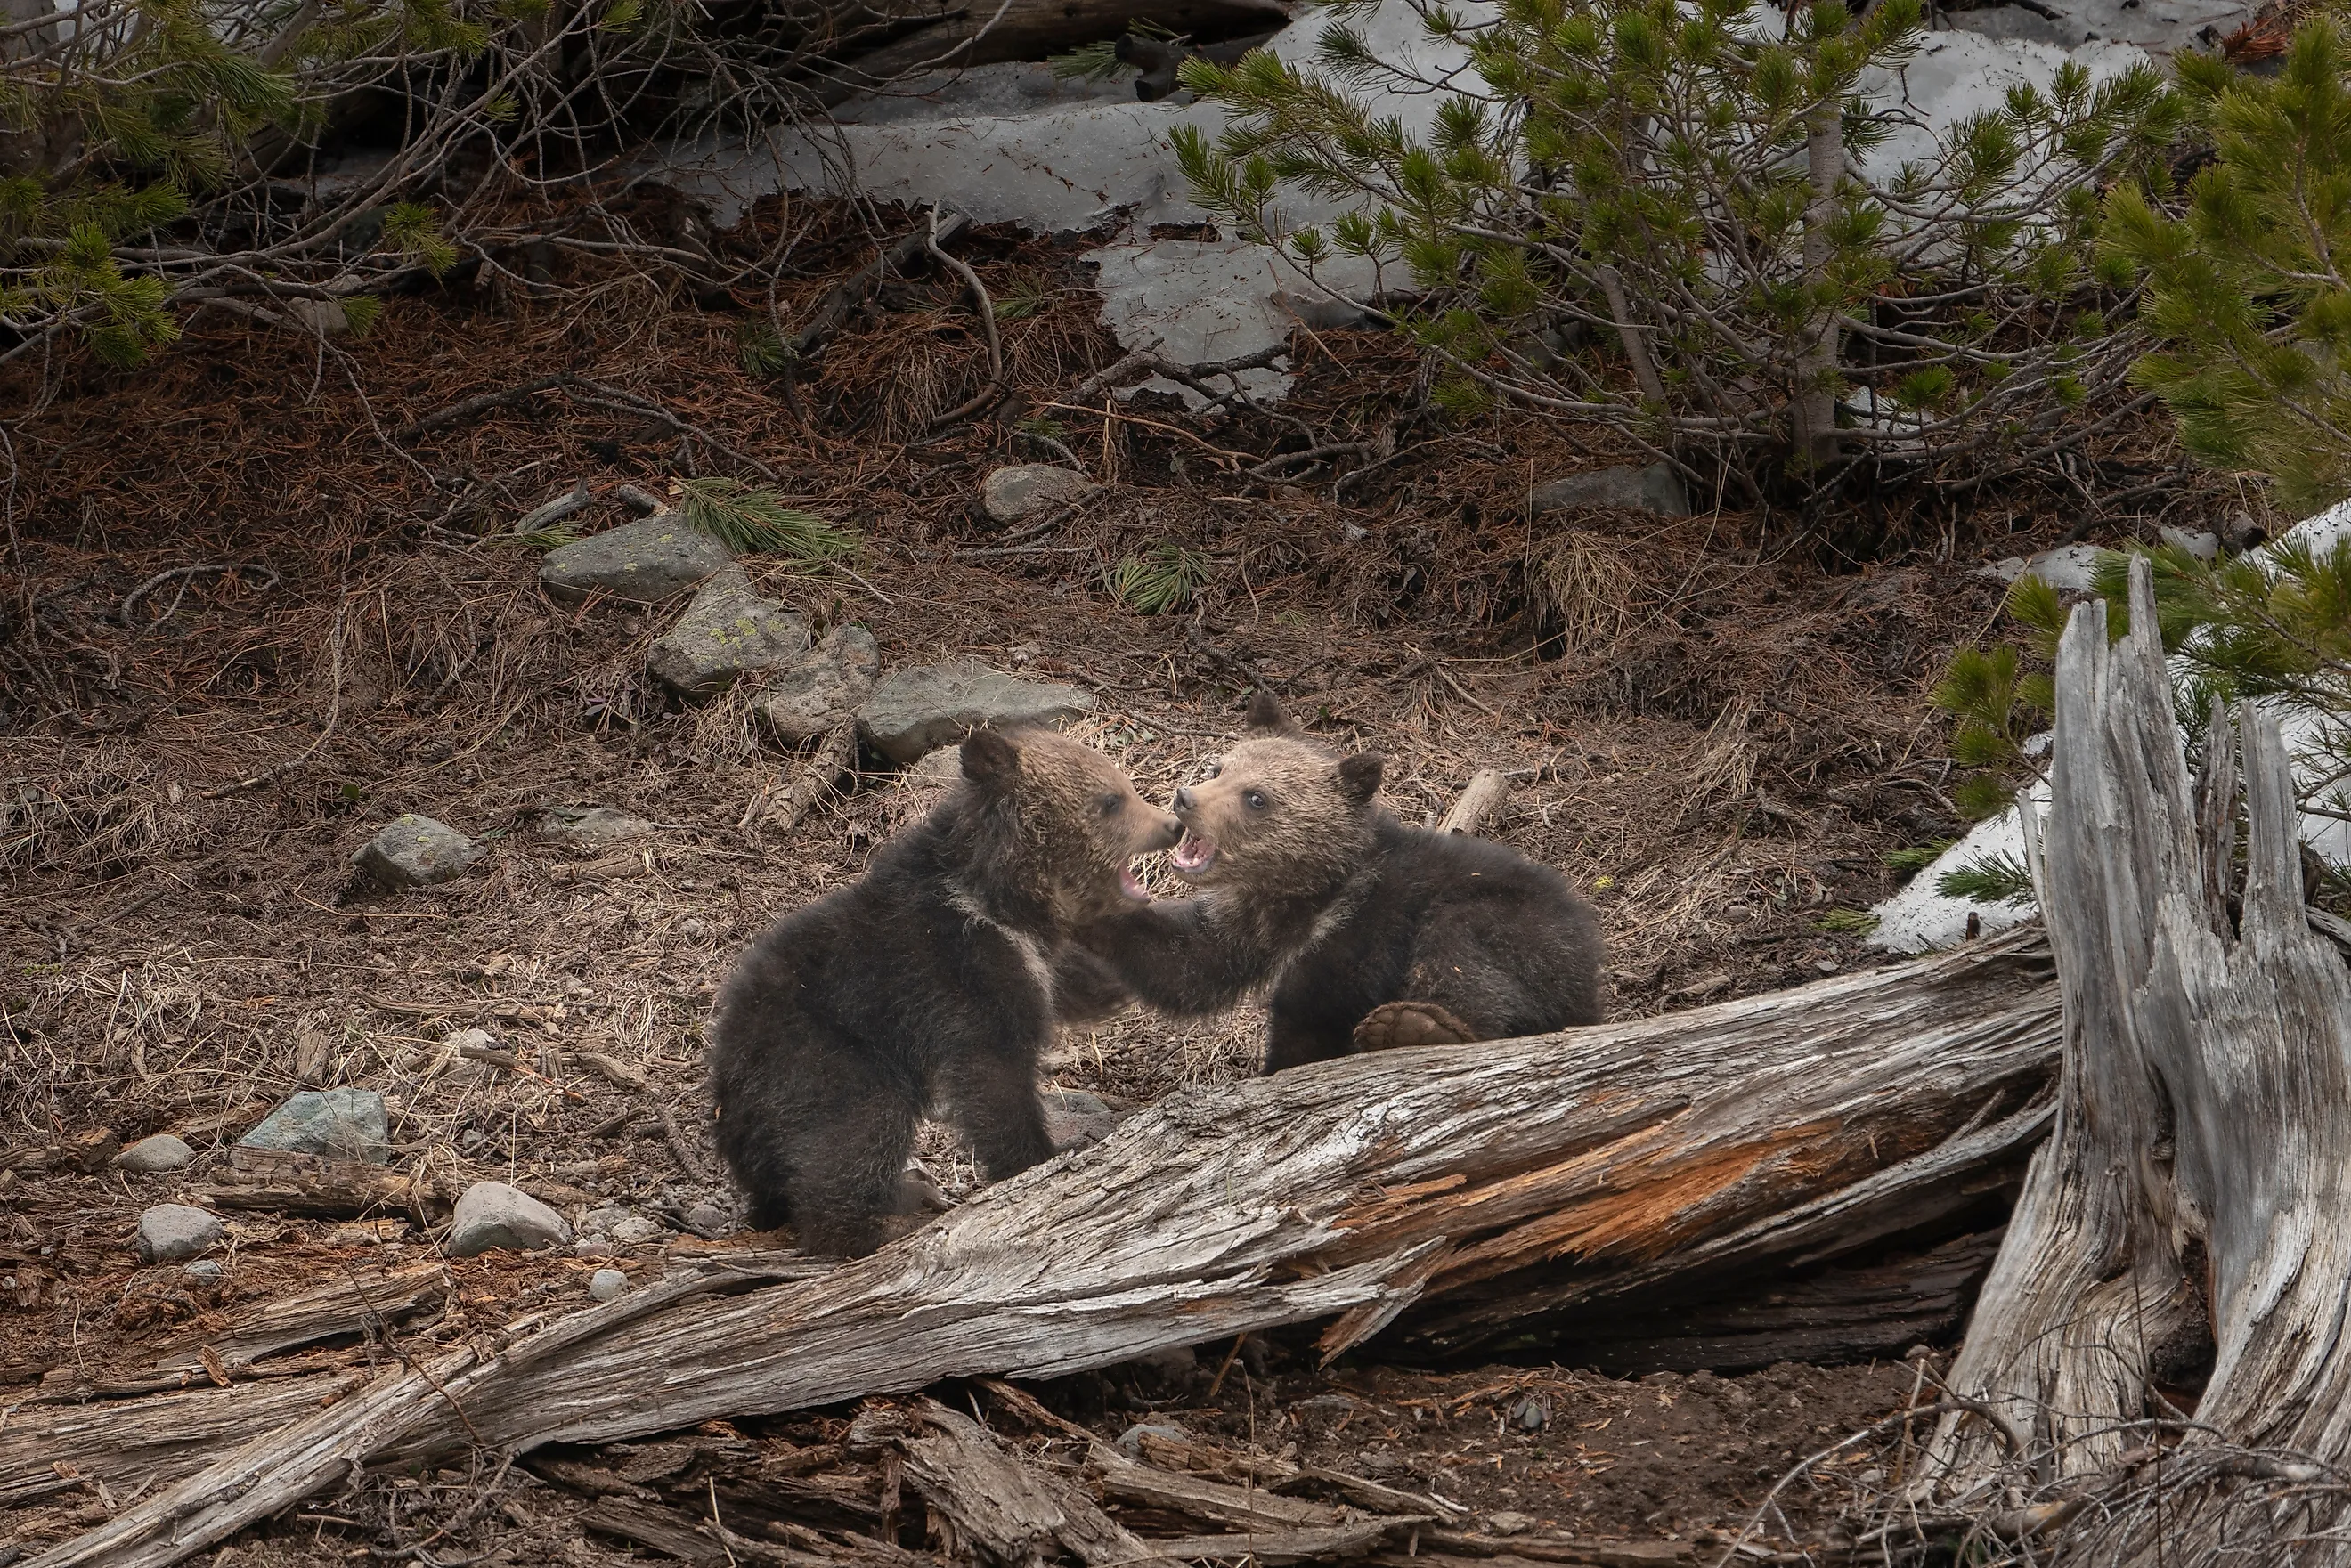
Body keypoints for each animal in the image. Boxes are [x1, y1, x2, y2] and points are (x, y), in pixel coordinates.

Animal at [707, 724, 1181, 1257]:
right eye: (1111, 800)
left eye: (1124, 787)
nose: (1171, 825)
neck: (1000, 898)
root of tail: (728, 1070)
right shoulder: (959, 970)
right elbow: (992, 1073)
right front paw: (1043, 1154)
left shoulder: (1026, 956)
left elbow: (1064, 984)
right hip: (821, 1056)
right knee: (857, 1129)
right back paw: (882, 1223)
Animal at [1073, 692, 1604, 1072]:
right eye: (1219, 767)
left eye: (1257, 797)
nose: (1186, 798)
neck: (1309, 894)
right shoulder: (1247, 925)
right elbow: (1187, 961)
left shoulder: (1359, 933)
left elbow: (1312, 1015)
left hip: (1522, 924)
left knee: (1466, 954)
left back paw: (1418, 1025)